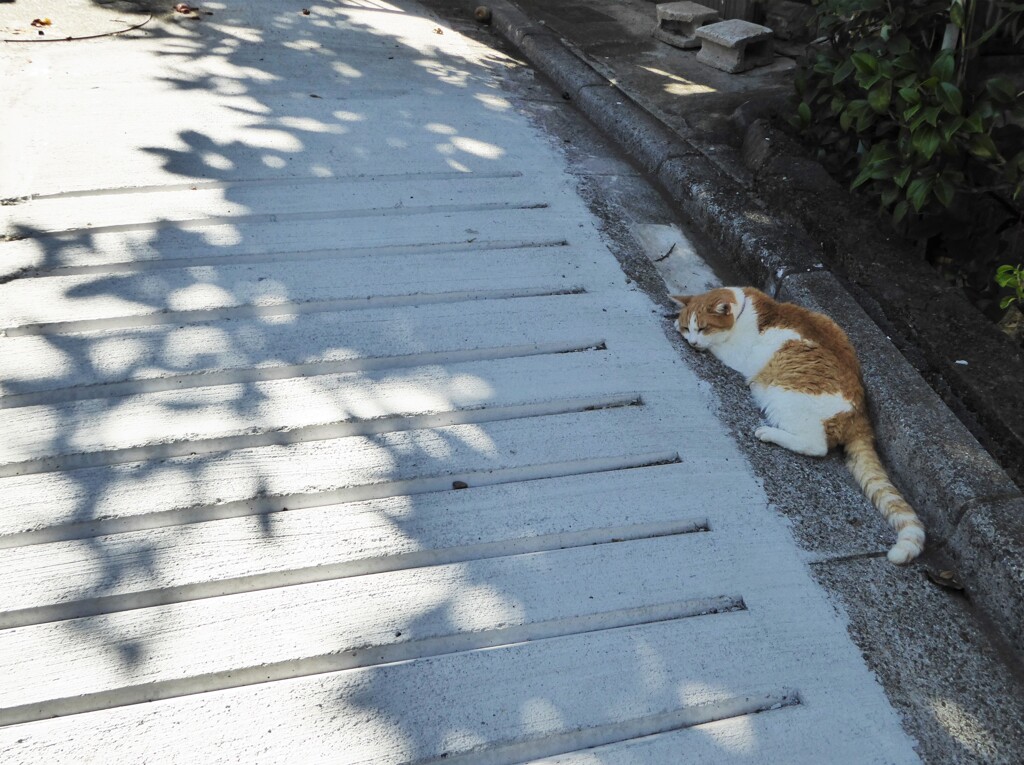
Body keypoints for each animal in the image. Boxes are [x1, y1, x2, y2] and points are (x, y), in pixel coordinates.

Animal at [671, 286, 929, 561]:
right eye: (688, 328)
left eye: (703, 328)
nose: (692, 342)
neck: (745, 310)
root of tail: (861, 415)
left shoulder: (736, 355)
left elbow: (719, 348)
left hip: (781, 396)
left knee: (816, 446)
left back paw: (768, 433)